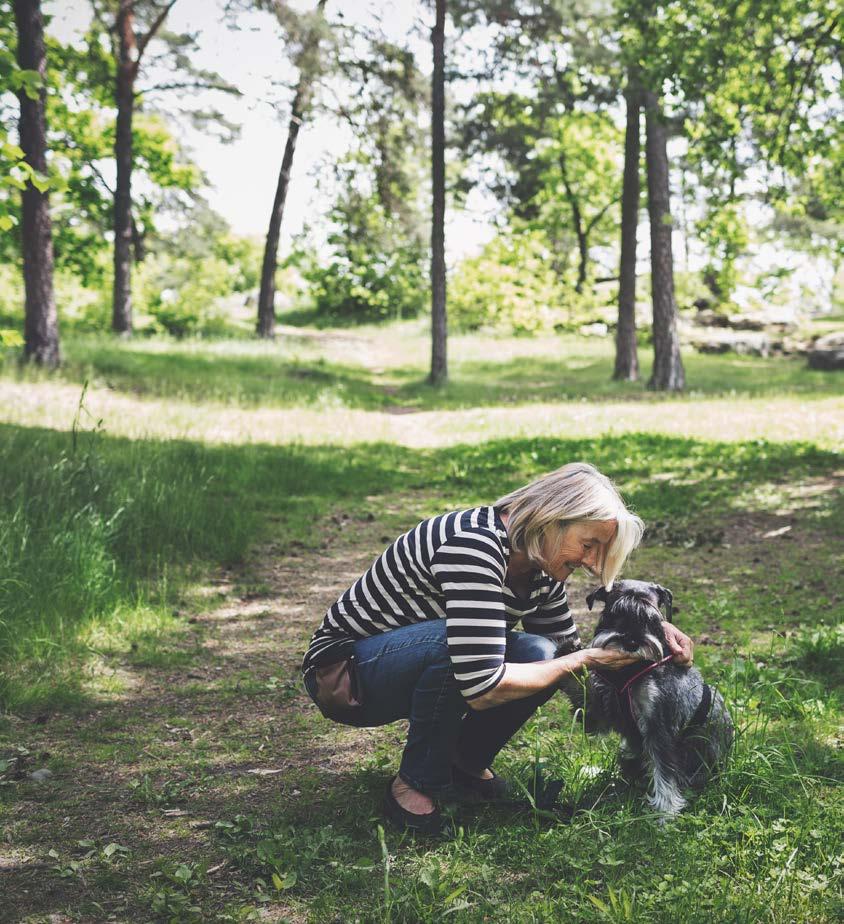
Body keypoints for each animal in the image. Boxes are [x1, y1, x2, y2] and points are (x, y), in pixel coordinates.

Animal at [564, 580, 736, 820]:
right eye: (615, 613)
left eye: (652, 619)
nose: (631, 642)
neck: (630, 672)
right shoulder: (600, 713)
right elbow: (584, 693)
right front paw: (568, 654)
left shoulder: (659, 725)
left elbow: (664, 771)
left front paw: (666, 811)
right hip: (628, 751)